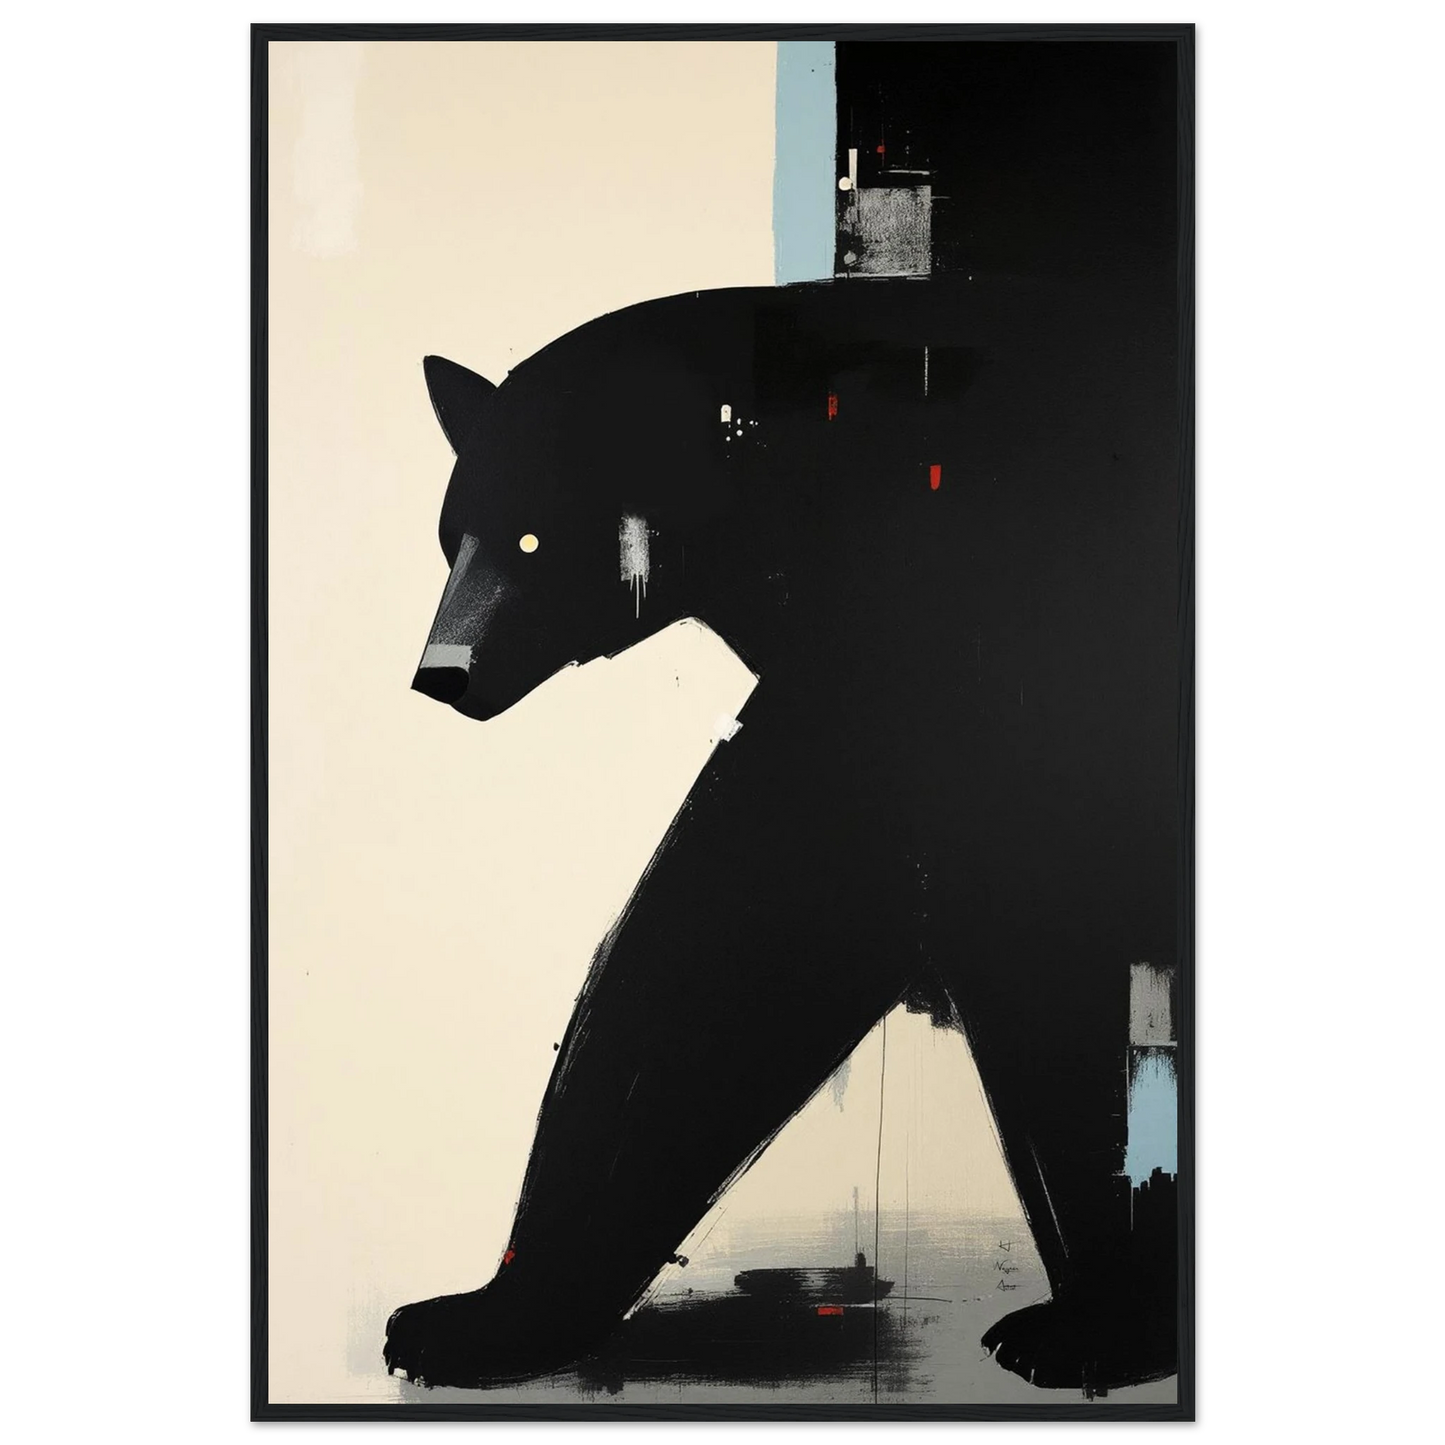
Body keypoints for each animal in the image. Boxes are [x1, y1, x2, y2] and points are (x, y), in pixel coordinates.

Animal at [384, 268, 1181, 1395]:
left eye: (533, 536)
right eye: (452, 534)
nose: (441, 672)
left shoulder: (972, 664)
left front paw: (1101, 1322)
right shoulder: (863, 721)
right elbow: (718, 960)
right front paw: (482, 1315)